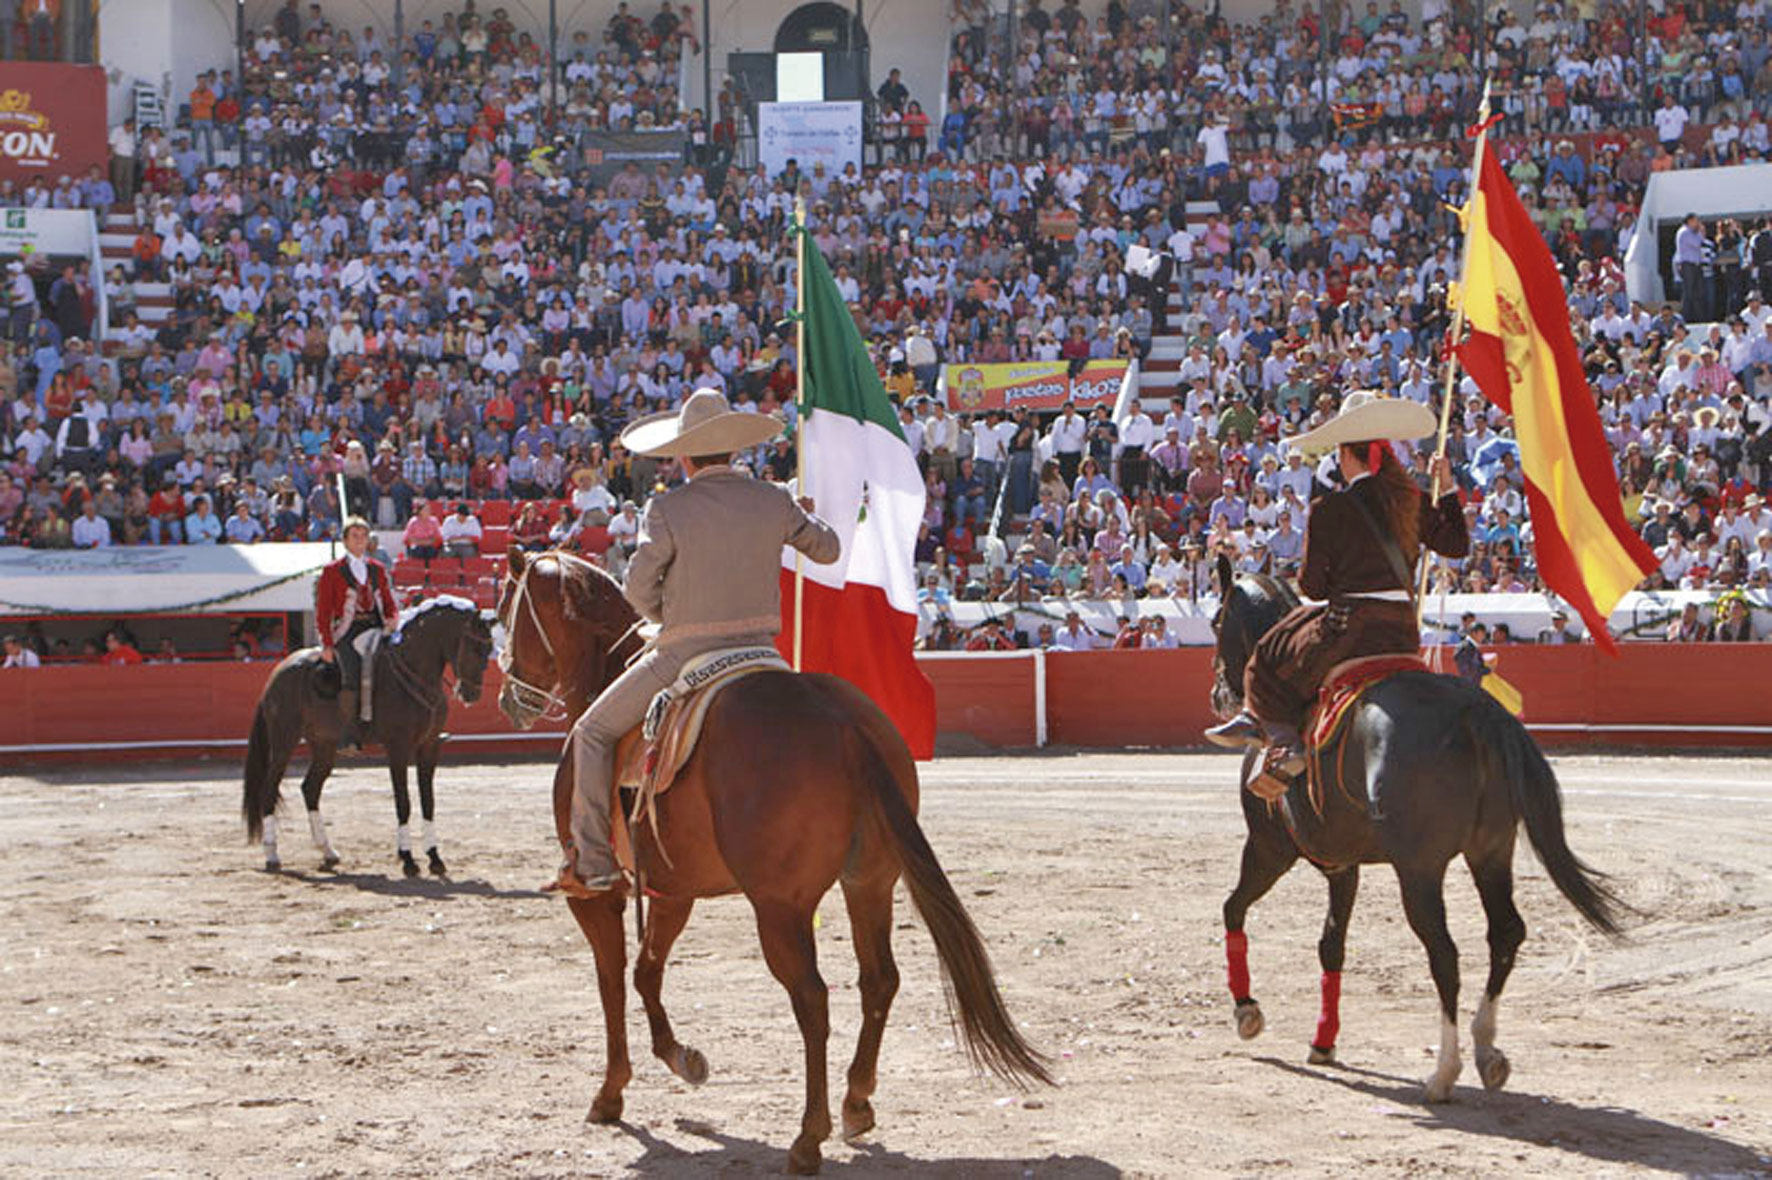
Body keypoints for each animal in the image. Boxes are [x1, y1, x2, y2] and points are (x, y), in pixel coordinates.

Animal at [241, 595, 495, 878]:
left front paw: (434, 857)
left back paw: (328, 851)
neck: (415, 674)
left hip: (324, 745)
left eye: (489, 649)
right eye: (475, 647)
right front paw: (408, 859)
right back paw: (272, 855)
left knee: (310, 789)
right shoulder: (397, 748)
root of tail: (280, 671)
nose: (471, 694)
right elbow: (403, 802)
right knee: (269, 789)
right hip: (284, 741)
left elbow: (428, 801)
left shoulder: (429, 747)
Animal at [495, 548, 1049, 1175]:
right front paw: (683, 1058)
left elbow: (612, 979)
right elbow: (646, 971)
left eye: (506, 610)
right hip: (869, 883)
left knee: (812, 997)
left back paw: (808, 1137)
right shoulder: (673, 891)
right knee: (878, 980)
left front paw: (611, 1092)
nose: (509, 697)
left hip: (780, 908)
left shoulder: (599, 895)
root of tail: (843, 722)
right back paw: (856, 1101)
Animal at [1208, 553, 1625, 1102]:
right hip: (1491, 853)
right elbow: (1331, 945)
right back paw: (1487, 1052)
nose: (1219, 694)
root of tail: (1474, 711)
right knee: (1505, 933)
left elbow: (1233, 909)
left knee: (1444, 953)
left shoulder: (1268, 848)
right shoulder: (1342, 867)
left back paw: (1444, 1072)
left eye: (1215, 622)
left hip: (1419, 870)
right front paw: (1323, 1040)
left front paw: (1247, 1012)